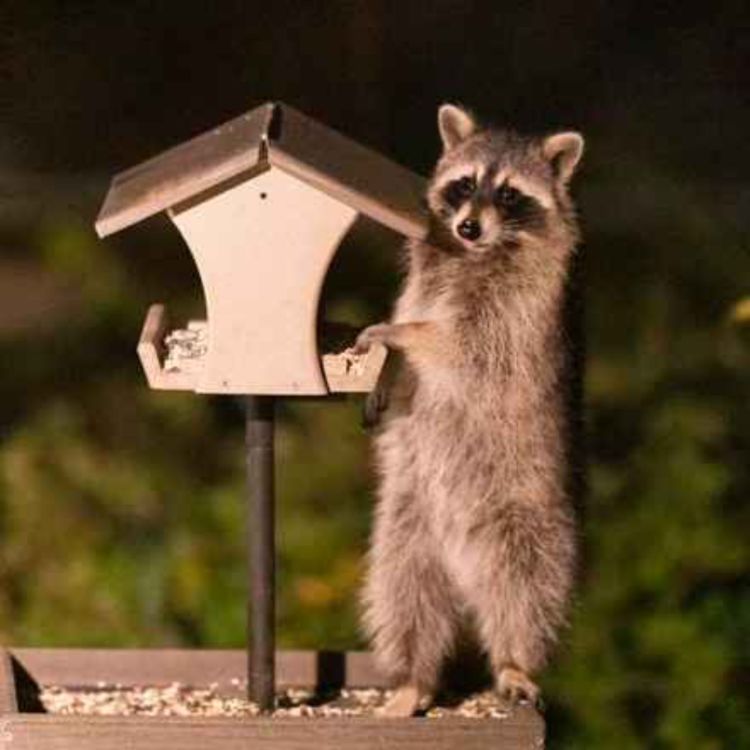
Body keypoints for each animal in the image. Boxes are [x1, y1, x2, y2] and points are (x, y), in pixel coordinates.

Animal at [354, 104, 588, 716]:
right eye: (464, 184)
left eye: (508, 195)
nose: (467, 227)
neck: (476, 253)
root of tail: (461, 567)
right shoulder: (423, 277)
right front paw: (389, 363)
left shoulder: (515, 313)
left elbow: (461, 344)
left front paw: (398, 335)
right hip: (405, 525)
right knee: (404, 595)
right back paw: (414, 677)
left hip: (527, 520)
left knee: (525, 589)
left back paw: (514, 659)